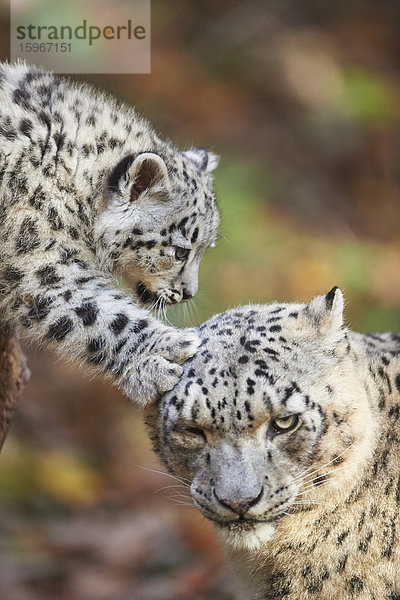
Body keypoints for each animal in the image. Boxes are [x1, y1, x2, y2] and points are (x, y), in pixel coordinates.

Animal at [0, 62, 219, 404]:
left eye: (206, 248)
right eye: (180, 251)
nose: (189, 293)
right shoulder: (39, 263)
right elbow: (100, 316)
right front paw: (172, 347)